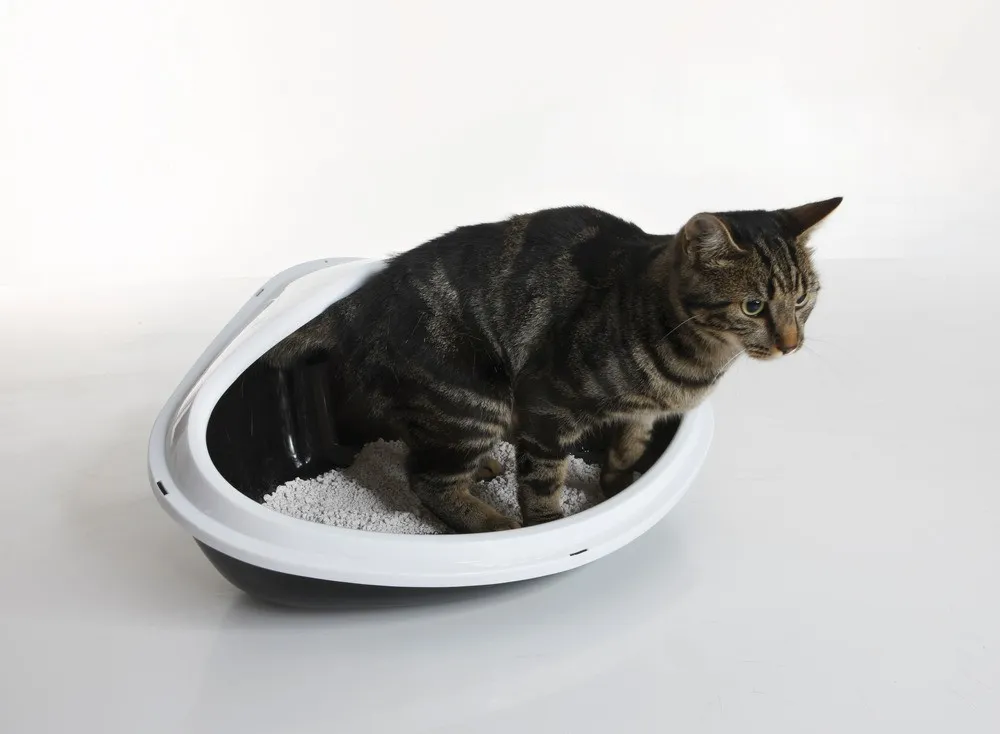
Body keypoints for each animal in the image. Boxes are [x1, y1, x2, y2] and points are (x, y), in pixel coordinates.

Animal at [265, 198, 842, 532]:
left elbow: (628, 446)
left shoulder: (639, 414)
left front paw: (618, 484)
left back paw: (483, 468)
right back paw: (491, 523)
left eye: (803, 298)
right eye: (753, 306)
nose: (792, 343)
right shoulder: (547, 412)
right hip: (476, 398)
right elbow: (542, 485)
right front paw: (546, 524)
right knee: (427, 480)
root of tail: (367, 293)